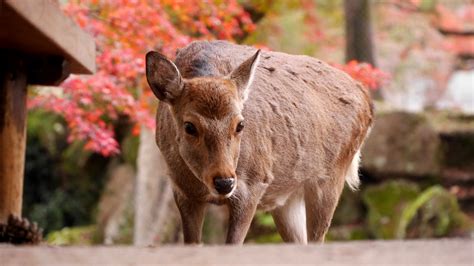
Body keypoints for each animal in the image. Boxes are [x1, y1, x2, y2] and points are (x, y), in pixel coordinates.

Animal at [146, 40, 372, 245]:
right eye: (189, 126)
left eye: (240, 124)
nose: (225, 182)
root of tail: (366, 98)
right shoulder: (183, 192)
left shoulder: (252, 184)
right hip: (287, 197)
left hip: (330, 178)